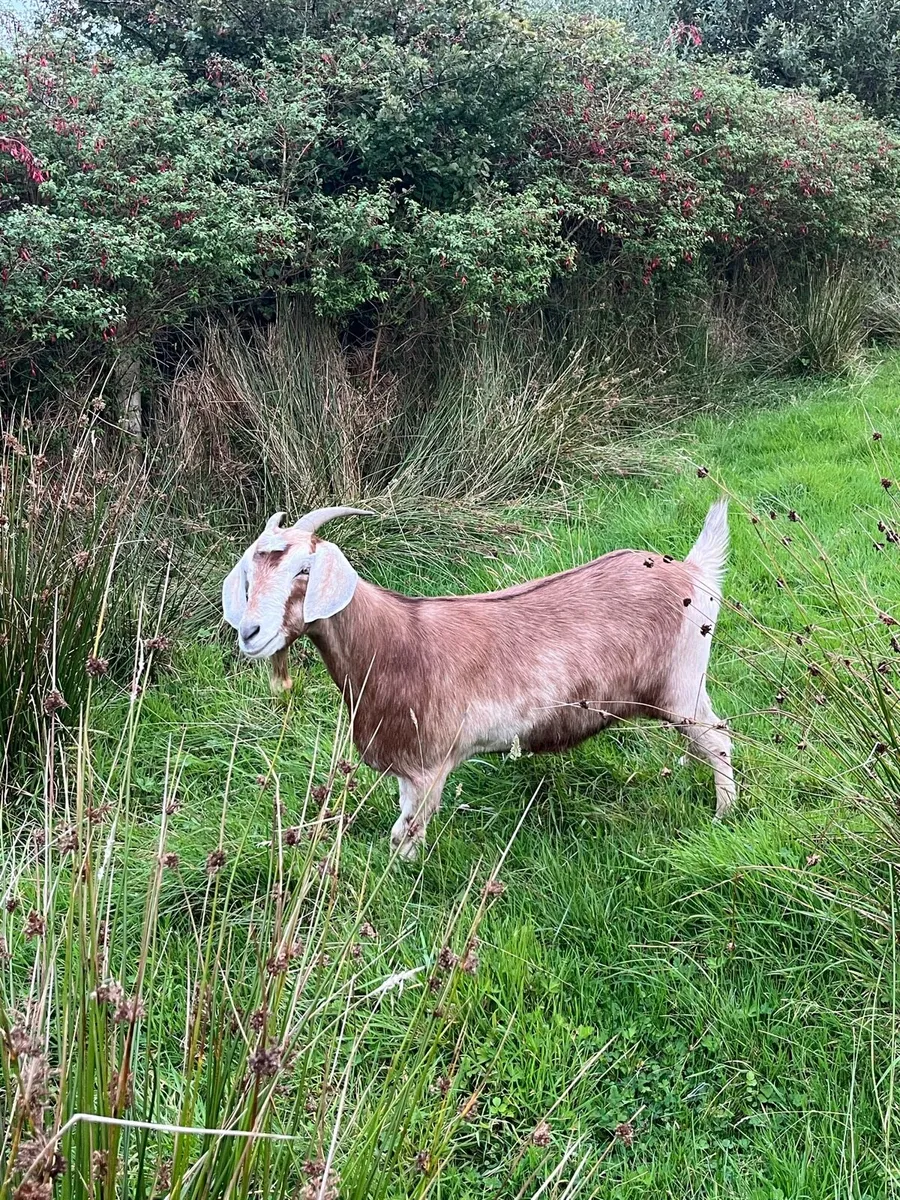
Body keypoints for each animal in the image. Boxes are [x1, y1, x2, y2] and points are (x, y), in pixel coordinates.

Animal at [223, 503, 735, 858]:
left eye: (304, 571)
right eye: (248, 573)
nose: (250, 633)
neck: (393, 644)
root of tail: (693, 573)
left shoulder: (429, 765)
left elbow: (407, 833)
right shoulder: (409, 767)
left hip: (681, 685)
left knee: (718, 737)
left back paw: (723, 812)